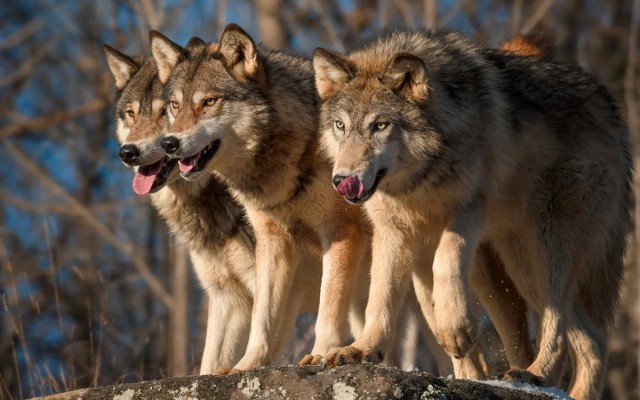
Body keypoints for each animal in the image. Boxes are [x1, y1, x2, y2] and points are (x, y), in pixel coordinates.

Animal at [103, 40, 322, 374]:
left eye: (165, 110)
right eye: (131, 113)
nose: (128, 152)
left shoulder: (280, 290)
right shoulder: (228, 296)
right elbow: (211, 363)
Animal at [313, 29, 631, 399]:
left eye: (380, 125)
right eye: (340, 125)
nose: (342, 181)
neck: (419, 183)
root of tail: (607, 106)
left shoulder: (470, 209)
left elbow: (446, 260)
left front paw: (457, 330)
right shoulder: (392, 232)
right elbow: (380, 296)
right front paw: (362, 348)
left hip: (544, 248)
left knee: (561, 328)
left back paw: (536, 373)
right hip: (516, 268)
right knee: (592, 341)